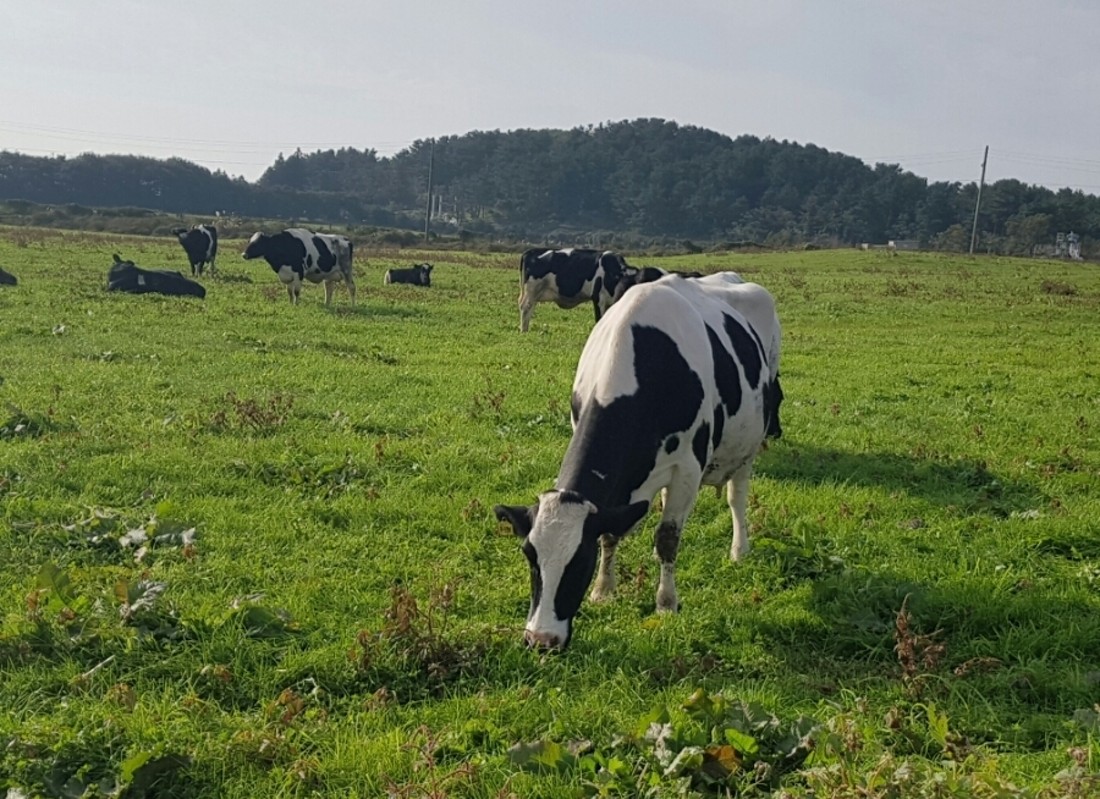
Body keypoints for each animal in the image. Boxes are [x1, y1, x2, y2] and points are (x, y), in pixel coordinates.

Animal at [495, 274, 787, 651]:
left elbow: (668, 538)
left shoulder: (687, 469)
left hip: (749, 444)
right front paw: (603, 590)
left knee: (736, 497)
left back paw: (739, 549)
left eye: (580, 560)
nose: (540, 639)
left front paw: (666, 602)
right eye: (530, 555)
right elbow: (611, 532)